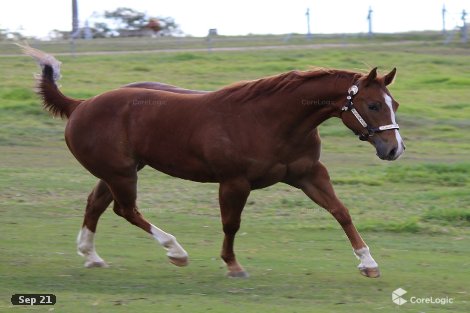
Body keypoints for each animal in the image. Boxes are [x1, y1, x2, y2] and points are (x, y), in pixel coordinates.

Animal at [23, 47, 404, 278]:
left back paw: (91, 256)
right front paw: (233, 266)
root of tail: (81, 105)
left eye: (394, 103)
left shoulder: (308, 174)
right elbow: (231, 224)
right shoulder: (234, 182)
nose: (394, 149)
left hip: (119, 171)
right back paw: (175, 250)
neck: (268, 121)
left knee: (96, 204)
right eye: (372, 105)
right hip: (121, 174)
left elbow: (341, 212)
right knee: (124, 210)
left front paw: (368, 263)